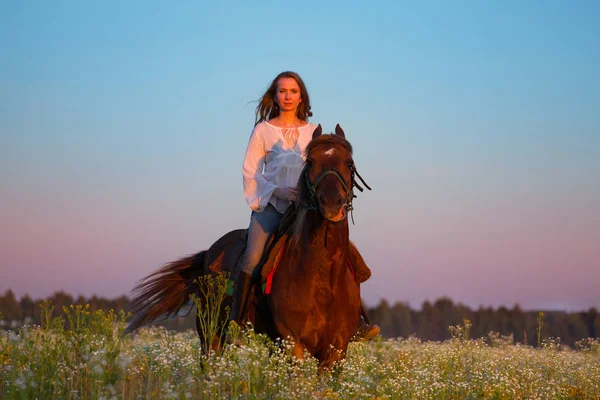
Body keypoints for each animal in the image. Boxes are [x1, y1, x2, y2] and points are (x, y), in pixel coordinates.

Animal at [125, 124, 372, 368]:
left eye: (349, 163)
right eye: (310, 162)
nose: (331, 203)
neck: (322, 275)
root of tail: (209, 254)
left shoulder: (336, 350)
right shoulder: (293, 344)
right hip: (210, 334)